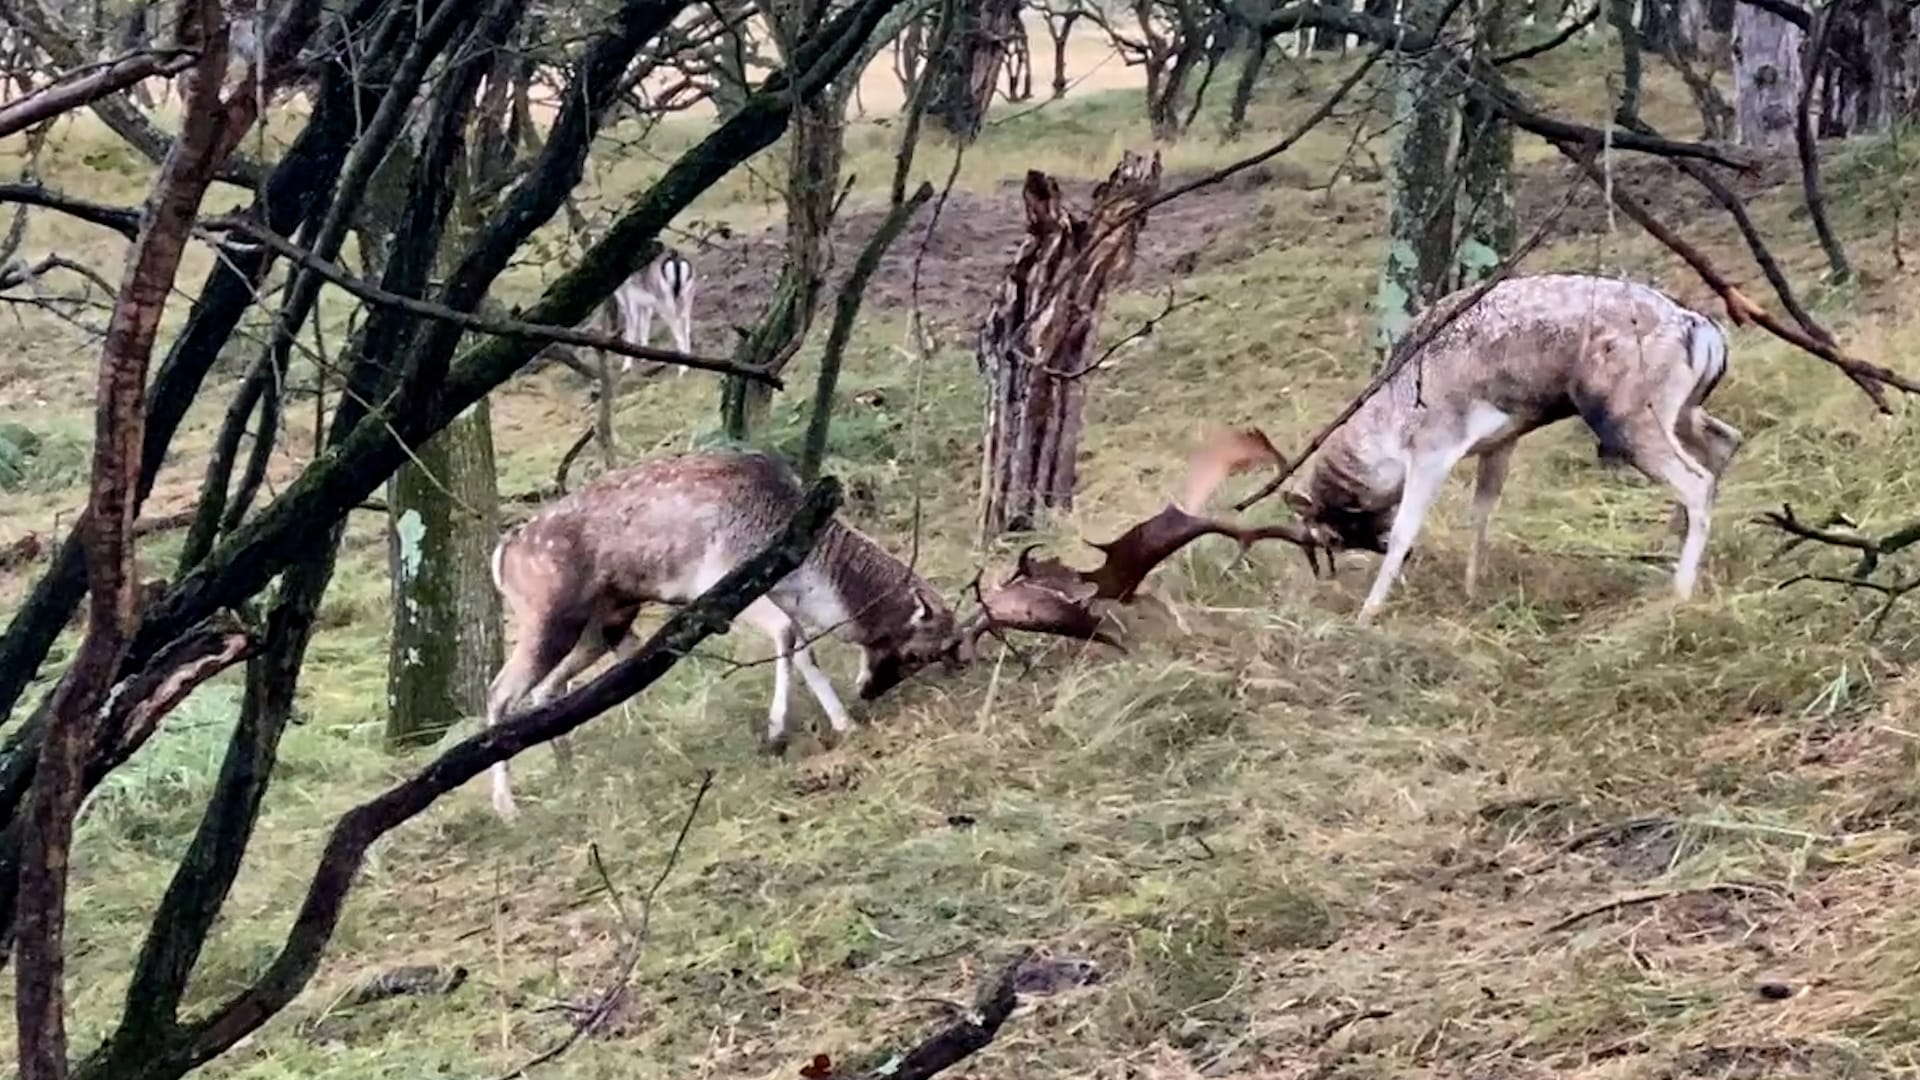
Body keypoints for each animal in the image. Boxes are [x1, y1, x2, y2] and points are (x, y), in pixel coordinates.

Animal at [484, 450, 959, 820]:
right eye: (917, 653)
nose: (870, 691)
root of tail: (501, 556)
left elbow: (805, 649)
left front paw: (843, 723)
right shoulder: (717, 582)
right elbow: (788, 633)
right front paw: (776, 734)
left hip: (605, 622)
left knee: (546, 687)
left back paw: (568, 767)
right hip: (547, 615)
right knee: (499, 691)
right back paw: (507, 806)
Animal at [1272, 272, 1743, 625]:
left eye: (1331, 535)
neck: (1393, 414)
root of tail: (1706, 333)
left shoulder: (1435, 446)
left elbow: (1409, 525)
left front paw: (1368, 613)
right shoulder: (1501, 440)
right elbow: (1482, 512)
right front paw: (1471, 589)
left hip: (1628, 416)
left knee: (1696, 479)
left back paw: (1679, 592)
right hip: (1684, 409)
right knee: (1725, 440)